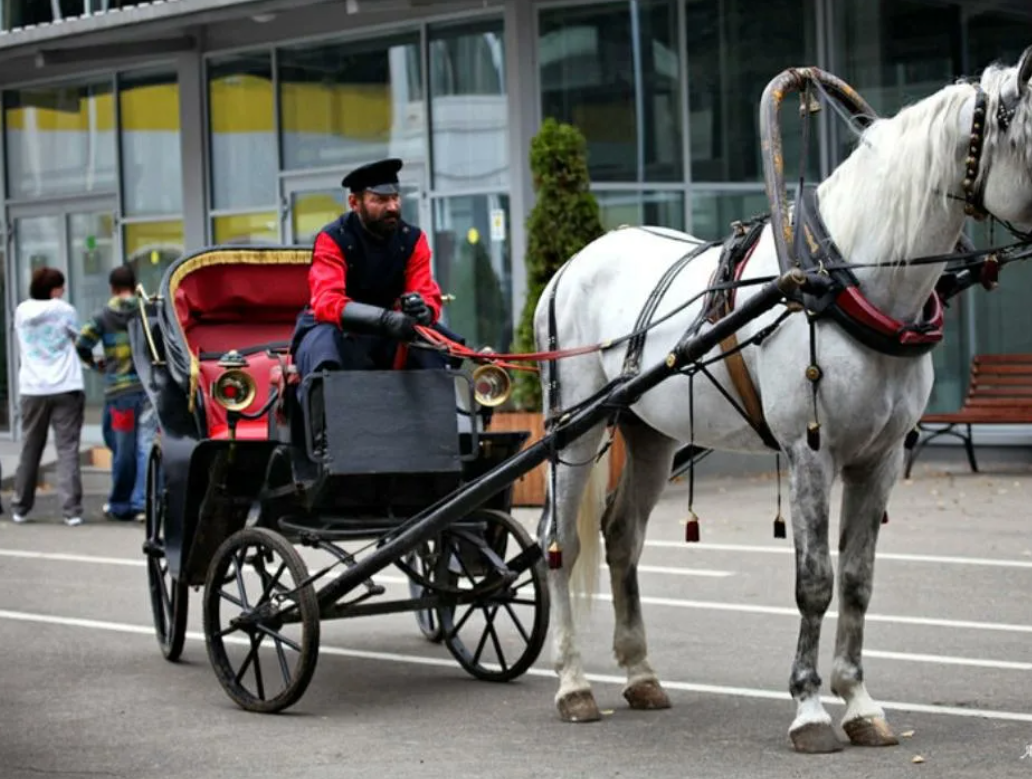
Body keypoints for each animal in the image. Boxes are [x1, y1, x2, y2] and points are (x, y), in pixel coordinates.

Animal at [532, 50, 1032, 755]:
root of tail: (571, 265)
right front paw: (810, 710)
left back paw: (640, 674)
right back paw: (574, 684)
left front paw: (859, 703)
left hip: (651, 433)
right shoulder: (808, 451)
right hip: (575, 430)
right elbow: (815, 581)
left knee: (622, 536)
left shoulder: (879, 460)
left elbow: (857, 581)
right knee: (560, 543)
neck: (844, 279)